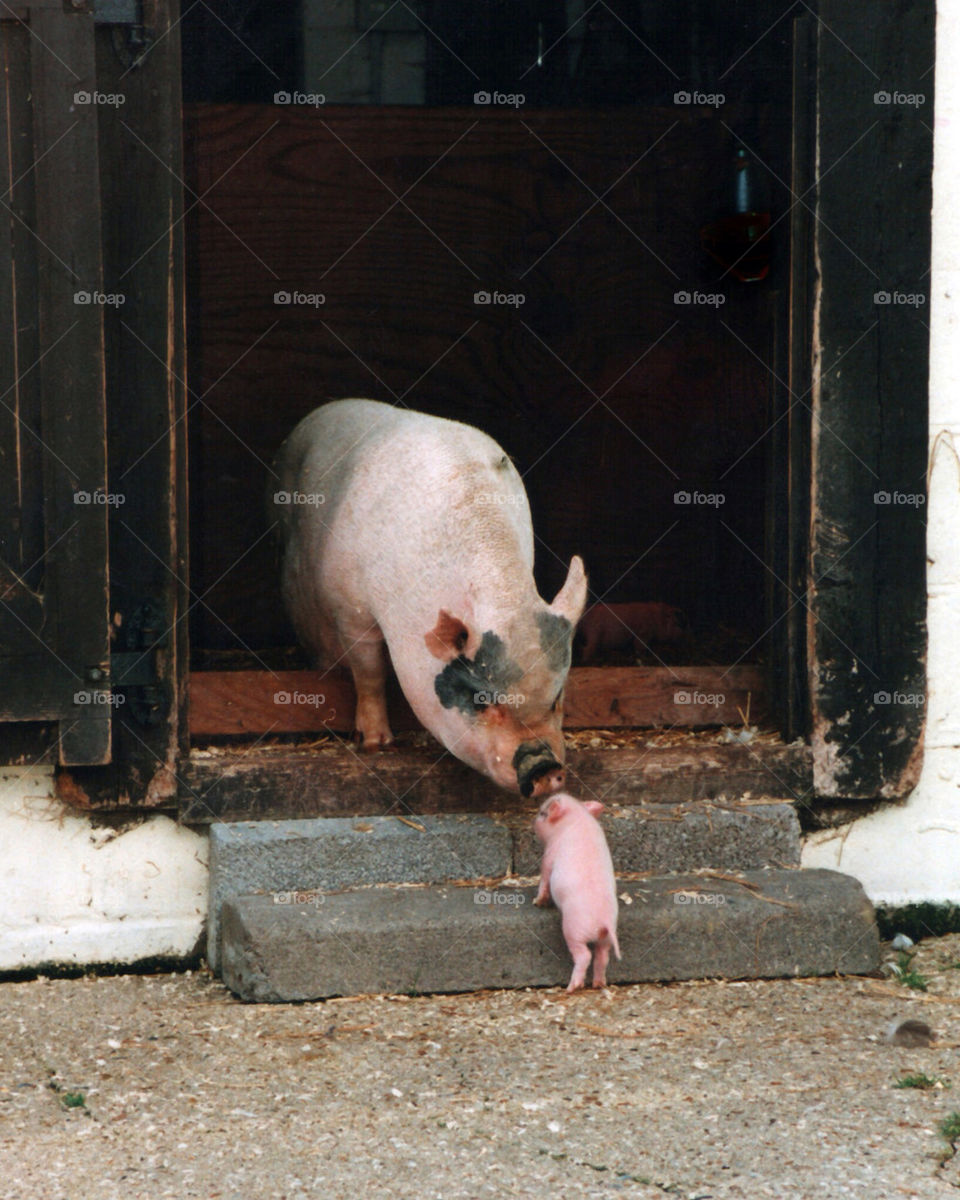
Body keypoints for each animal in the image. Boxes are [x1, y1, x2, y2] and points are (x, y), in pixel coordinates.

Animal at [273, 399, 587, 796]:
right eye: (481, 698)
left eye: (557, 696)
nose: (545, 769)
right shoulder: (351, 608)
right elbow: (369, 671)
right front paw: (376, 744)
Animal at [533, 792, 621, 992]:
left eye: (542, 813)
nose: (533, 821)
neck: (577, 816)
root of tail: (604, 920)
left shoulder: (549, 854)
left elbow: (544, 876)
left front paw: (537, 902)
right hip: (606, 938)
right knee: (603, 957)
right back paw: (598, 984)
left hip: (573, 929)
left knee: (584, 955)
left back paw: (572, 987)